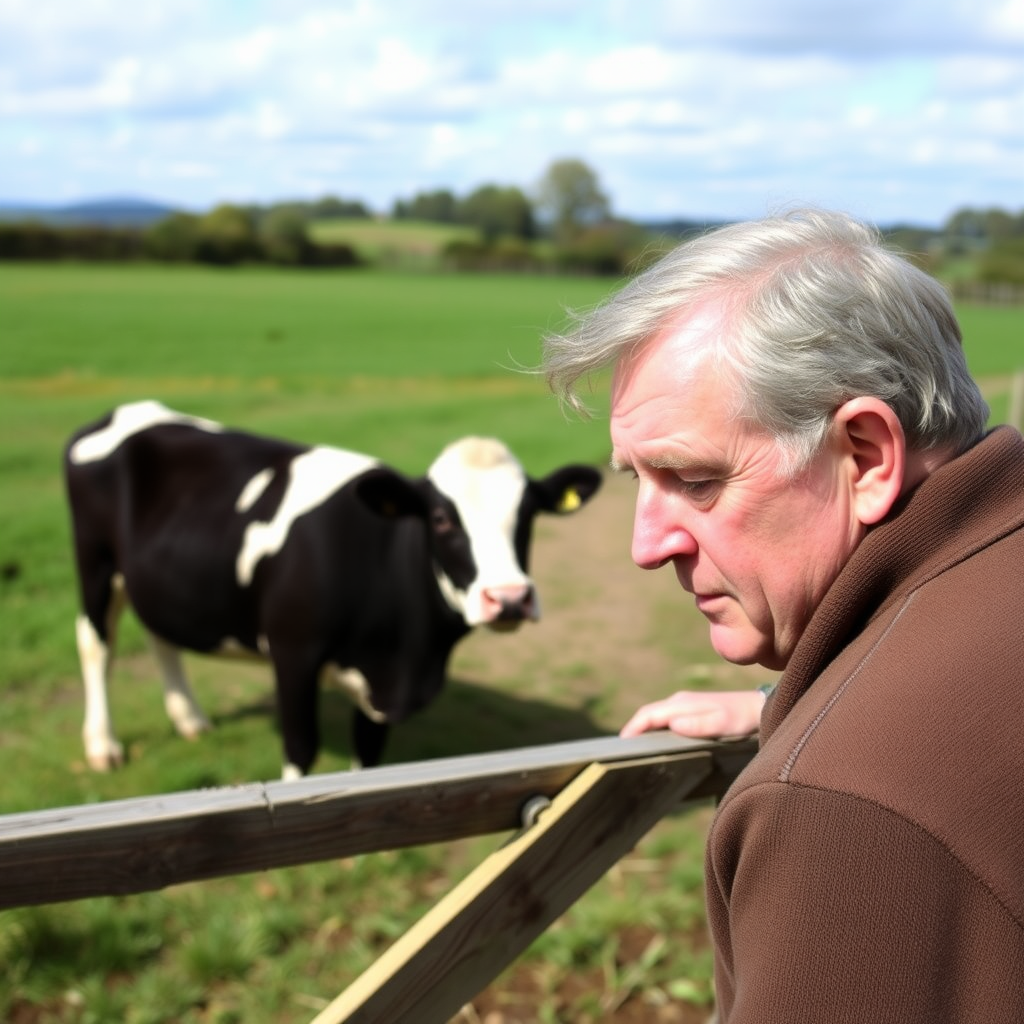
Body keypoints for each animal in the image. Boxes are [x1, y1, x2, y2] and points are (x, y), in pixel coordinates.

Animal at [64, 399, 598, 774]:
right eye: (441, 518)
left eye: (528, 513)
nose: (508, 598)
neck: (409, 652)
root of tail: (126, 411)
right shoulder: (292, 652)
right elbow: (301, 748)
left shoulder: (381, 687)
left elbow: (370, 755)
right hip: (94, 562)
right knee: (95, 643)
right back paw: (102, 745)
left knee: (160, 634)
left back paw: (189, 718)